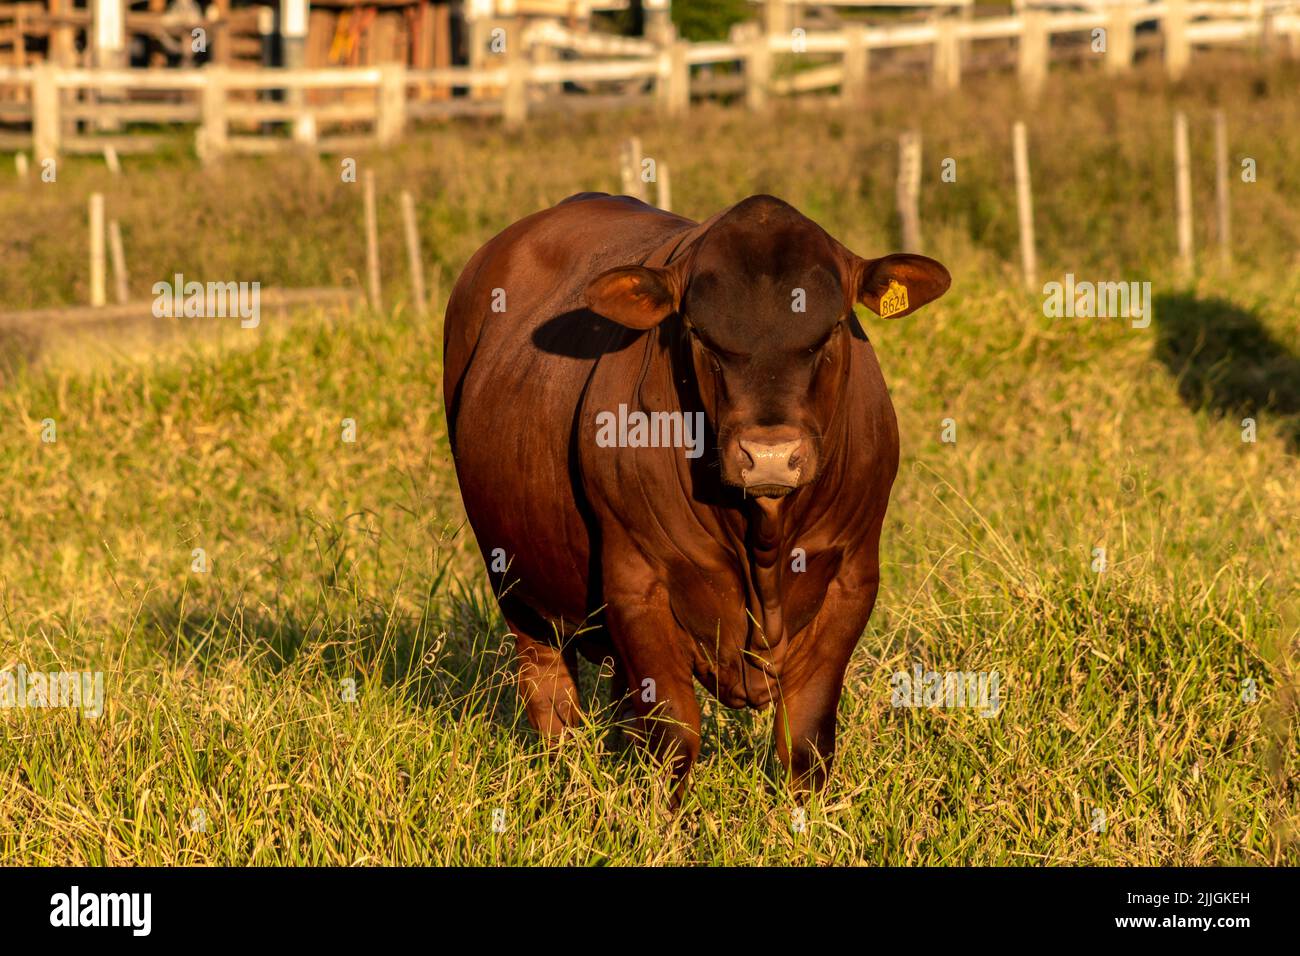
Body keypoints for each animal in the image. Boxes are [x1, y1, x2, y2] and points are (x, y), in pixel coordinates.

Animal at [441, 195, 951, 801]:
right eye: (701, 336)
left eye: (829, 332)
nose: (770, 455)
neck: (762, 543)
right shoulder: (637, 583)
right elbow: (675, 739)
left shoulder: (853, 579)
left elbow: (805, 740)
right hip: (513, 581)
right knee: (552, 697)